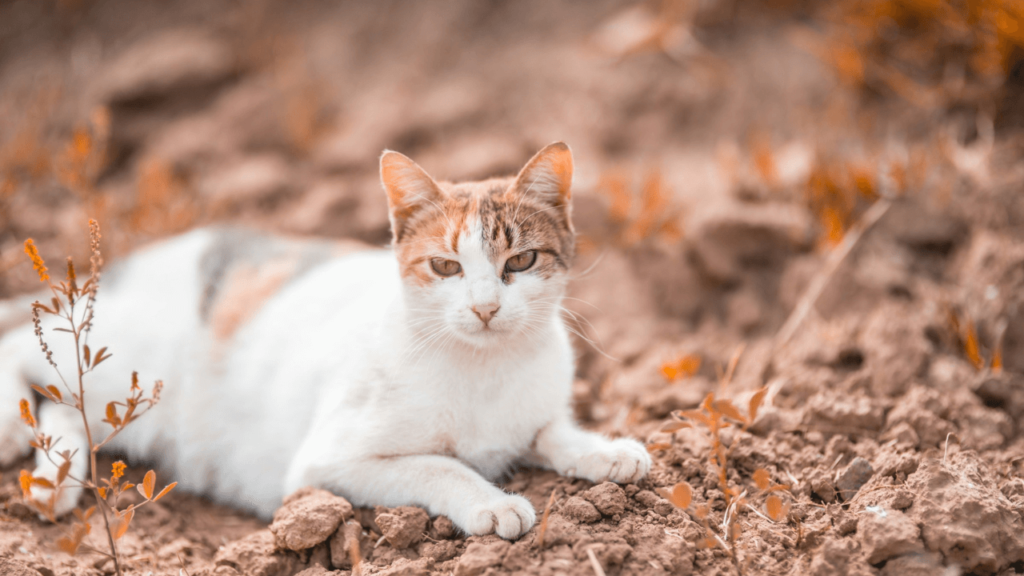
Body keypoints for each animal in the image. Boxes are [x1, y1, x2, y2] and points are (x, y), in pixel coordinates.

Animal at [0, 141, 651, 537]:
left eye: (520, 261)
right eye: (446, 268)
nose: (486, 307)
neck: (485, 366)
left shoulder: (536, 413)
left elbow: (552, 432)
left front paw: (604, 449)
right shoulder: (329, 462)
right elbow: (439, 466)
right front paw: (492, 501)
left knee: (64, 404)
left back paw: (53, 481)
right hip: (127, 361)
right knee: (26, 343)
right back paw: (20, 437)